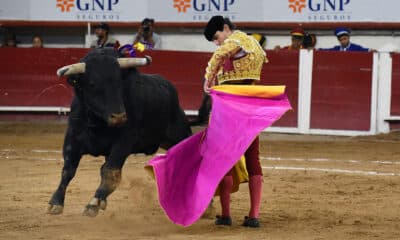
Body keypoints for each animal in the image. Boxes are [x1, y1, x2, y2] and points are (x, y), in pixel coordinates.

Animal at [48, 48, 192, 216]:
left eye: (119, 83)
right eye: (92, 84)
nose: (119, 117)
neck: (98, 122)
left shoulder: (123, 143)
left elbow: (110, 171)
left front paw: (94, 204)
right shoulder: (73, 139)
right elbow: (68, 170)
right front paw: (55, 203)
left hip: (179, 135)